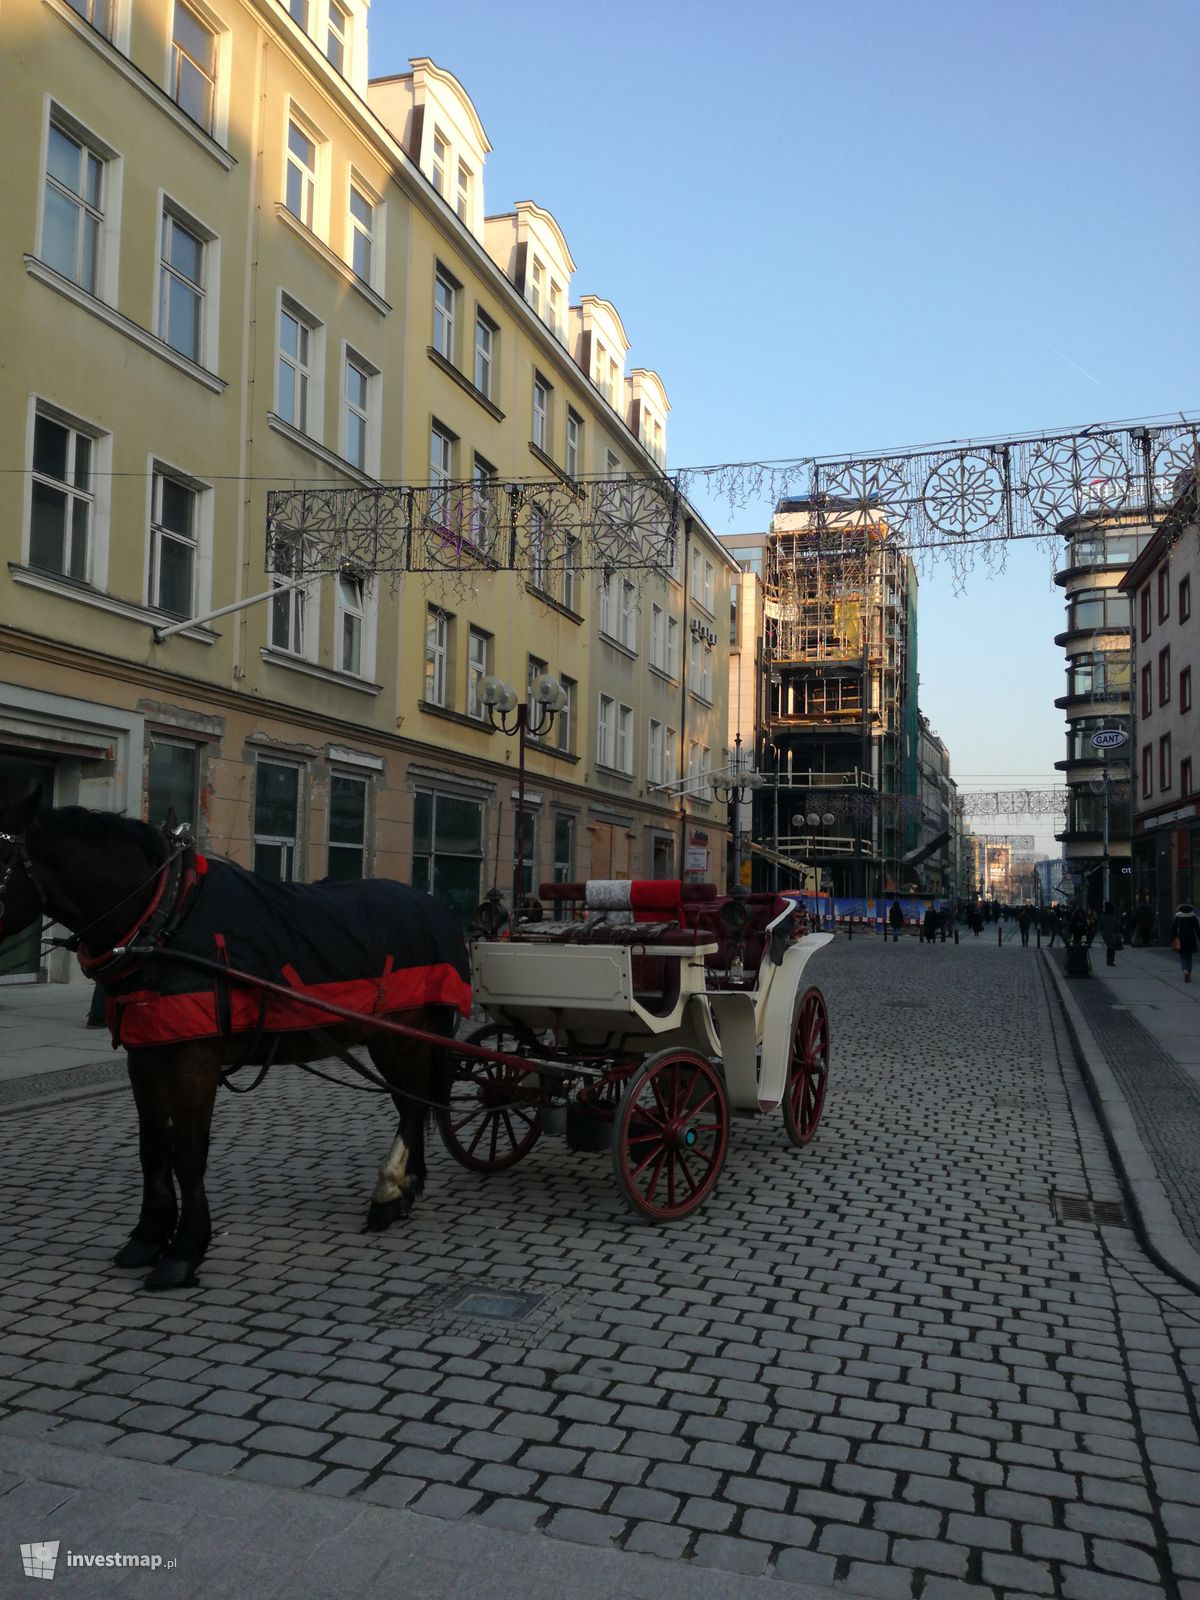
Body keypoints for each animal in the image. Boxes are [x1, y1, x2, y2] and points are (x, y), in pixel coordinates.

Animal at [0, 793, 473, 1292]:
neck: (167, 918)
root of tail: (436, 907)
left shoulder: (196, 1060)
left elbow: (189, 1155)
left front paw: (183, 1253)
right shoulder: (145, 1057)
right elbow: (153, 1148)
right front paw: (147, 1238)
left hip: (403, 1037)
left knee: (414, 1105)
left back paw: (389, 1189)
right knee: (409, 1104)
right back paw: (406, 1187)